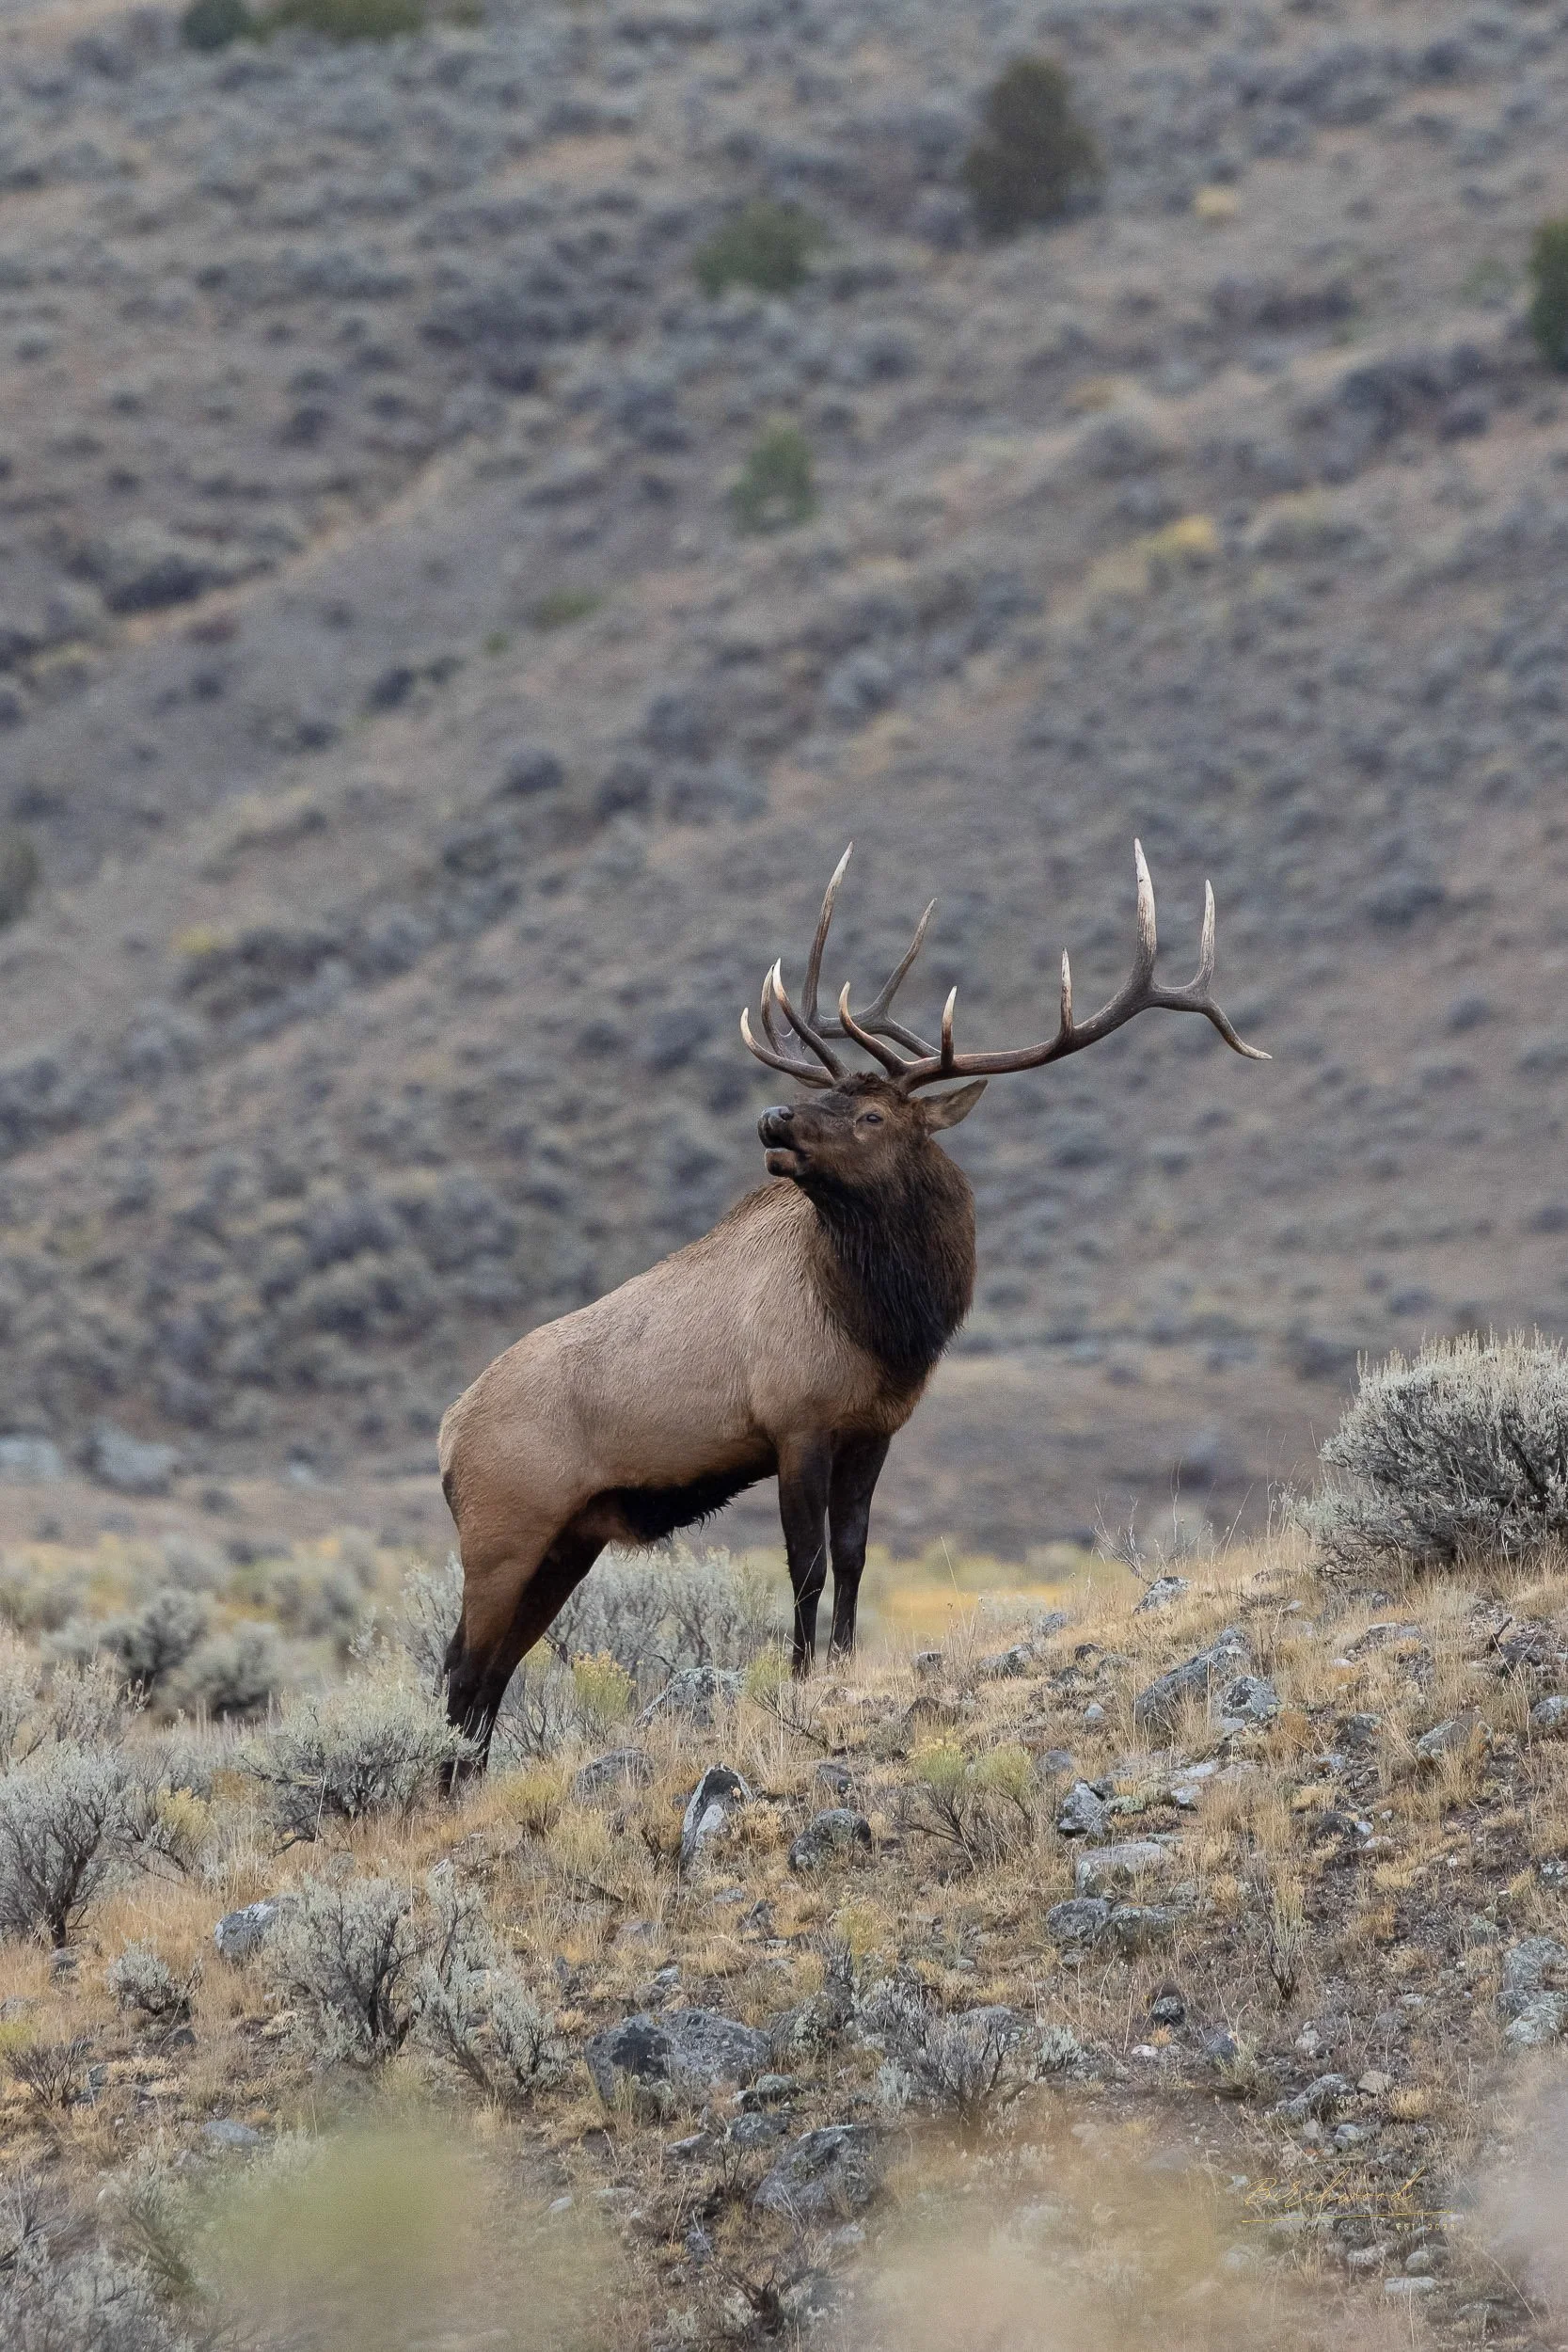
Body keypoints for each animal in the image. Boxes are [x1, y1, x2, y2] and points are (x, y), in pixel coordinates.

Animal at [437, 842, 1266, 1758]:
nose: (772, 1117)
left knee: (487, 1679)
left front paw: (836, 1662)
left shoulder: (873, 1429)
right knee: (461, 1672)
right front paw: (800, 1676)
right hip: (503, 1529)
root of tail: (446, 1437)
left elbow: (853, 1551)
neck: (882, 1326)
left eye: (870, 1113)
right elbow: (804, 1563)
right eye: (830, 1100)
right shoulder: (793, 1422)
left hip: (569, 1538)